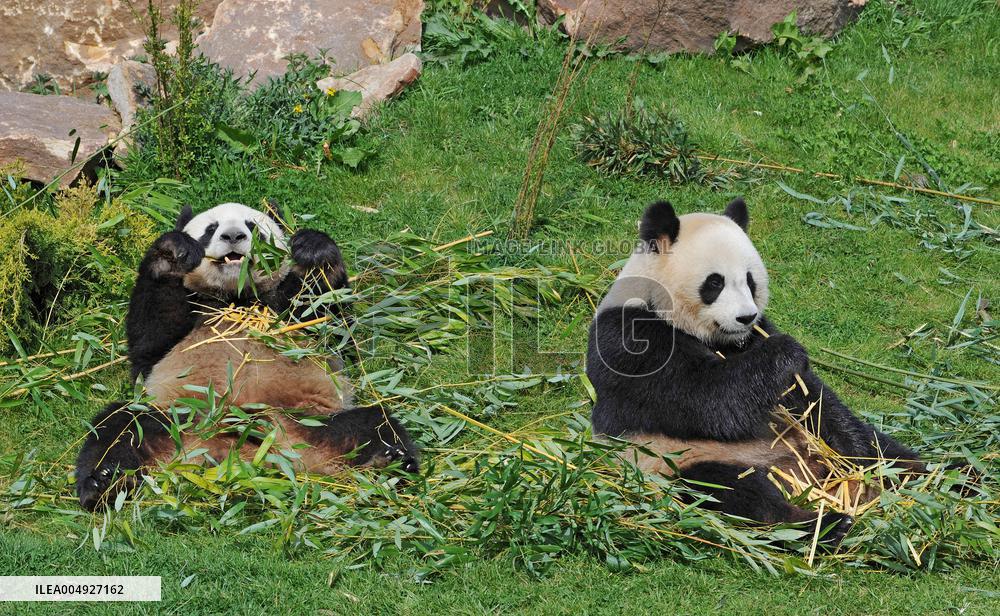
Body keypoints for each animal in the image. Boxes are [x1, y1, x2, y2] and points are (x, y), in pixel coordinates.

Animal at [76, 202, 418, 511]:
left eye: (253, 227)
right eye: (210, 229)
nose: (233, 236)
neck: (236, 297)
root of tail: (236, 453)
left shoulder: (283, 310)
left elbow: (332, 328)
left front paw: (312, 250)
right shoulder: (185, 319)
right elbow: (150, 342)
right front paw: (173, 252)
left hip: (311, 421)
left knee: (374, 424)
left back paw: (388, 462)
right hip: (178, 418)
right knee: (119, 426)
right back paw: (103, 483)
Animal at [586, 198, 925, 544]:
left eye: (750, 280)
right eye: (715, 282)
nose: (745, 317)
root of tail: (800, 475)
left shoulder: (757, 334)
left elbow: (814, 402)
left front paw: (853, 453)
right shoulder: (631, 341)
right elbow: (706, 399)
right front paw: (785, 351)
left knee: (886, 449)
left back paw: (926, 474)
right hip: (678, 459)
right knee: (734, 493)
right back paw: (823, 525)